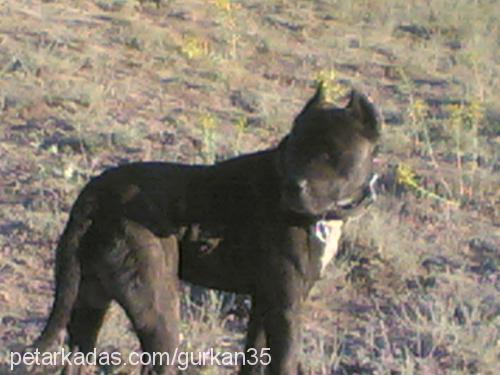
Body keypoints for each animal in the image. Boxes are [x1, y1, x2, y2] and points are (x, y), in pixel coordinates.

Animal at [32, 83, 378, 374]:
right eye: (294, 145)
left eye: (331, 153)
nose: (293, 186)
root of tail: (94, 197)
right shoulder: (287, 308)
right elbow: (283, 365)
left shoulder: (266, 302)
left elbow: (252, 359)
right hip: (158, 309)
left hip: (89, 301)